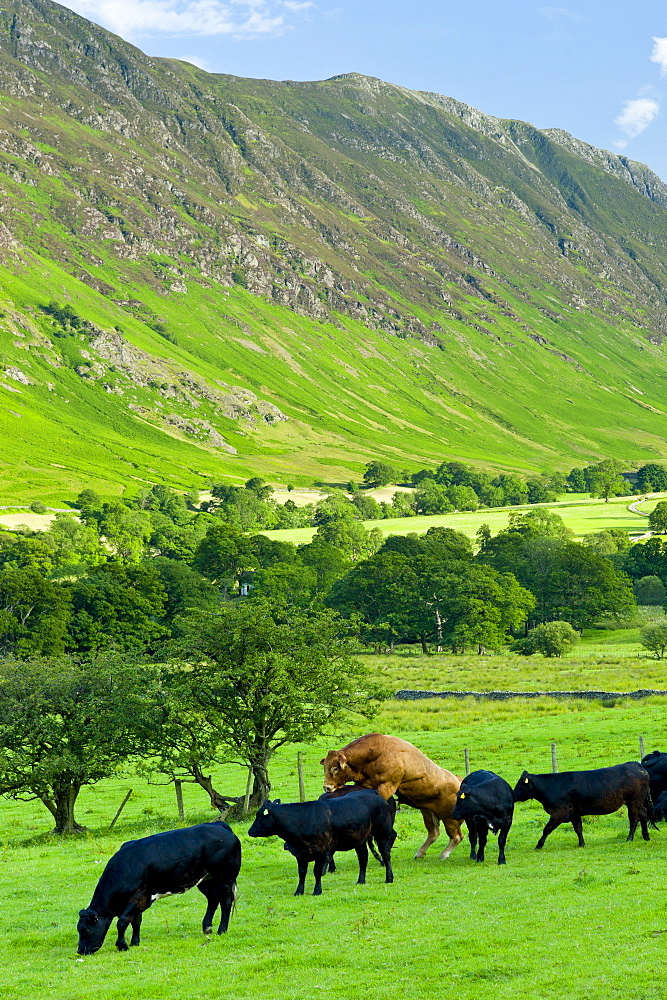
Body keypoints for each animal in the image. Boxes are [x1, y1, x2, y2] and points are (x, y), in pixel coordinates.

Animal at [77, 824, 241, 956]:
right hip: (205, 880)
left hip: (224, 878)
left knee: (225, 902)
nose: (80, 951)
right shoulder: (139, 900)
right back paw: (207, 928)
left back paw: (221, 930)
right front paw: (135, 942)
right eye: (78, 929)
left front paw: (122, 945)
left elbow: (122, 921)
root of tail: (220, 825)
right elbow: (136, 921)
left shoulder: (139, 896)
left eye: (85, 930)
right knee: (213, 900)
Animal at [250, 788, 396, 900]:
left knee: (386, 855)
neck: (301, 820)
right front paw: (299, 891)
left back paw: (389, 878)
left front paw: (317, 891)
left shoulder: (320, 852)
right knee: (363, 858)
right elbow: (302, 873)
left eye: (259, 815)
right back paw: (361, 880)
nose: (250, 831)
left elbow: (317, 871)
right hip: (359, 839)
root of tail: (373, 792)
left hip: (383, 833)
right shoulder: (300, 854)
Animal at [320, 736, 462, 860]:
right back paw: (420, 853)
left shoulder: (386, 787)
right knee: (434, 833)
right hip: (428, 812)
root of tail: (458, 780)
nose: (327, 787)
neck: (376, 753)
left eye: (335, 768)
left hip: (449, 818)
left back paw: (444, 854)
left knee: (457, 837)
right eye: (325, 767)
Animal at [516, 760, 652, 848]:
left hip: (634, 802)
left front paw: (539, 845)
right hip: (636, 803)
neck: (551, 786)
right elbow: (578, 829)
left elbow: (547, 829)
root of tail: (636, 764)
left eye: (520, 784)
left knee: (633, 819)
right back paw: (646, 836)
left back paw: (629, 839)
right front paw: (581, 844)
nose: (513, 794)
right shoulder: (574, 814)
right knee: (643, 814)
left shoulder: (559, 814)